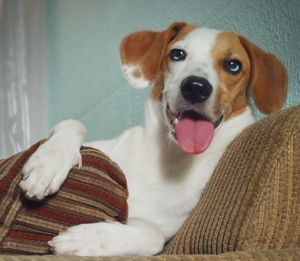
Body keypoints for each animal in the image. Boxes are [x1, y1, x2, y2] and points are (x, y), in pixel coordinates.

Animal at [17, 21, 288, 254]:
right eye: (177, 54)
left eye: (233, 65)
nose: (196, 87)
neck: (168, 156)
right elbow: (73, 123)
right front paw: (47, 166)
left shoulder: (161, 226)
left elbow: (154, 236)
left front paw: (87, 239)